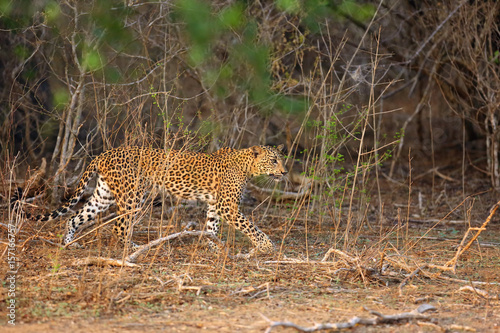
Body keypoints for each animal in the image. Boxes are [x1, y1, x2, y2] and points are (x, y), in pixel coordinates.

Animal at [34, 145, 286, 252]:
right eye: (274, 160)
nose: (284, 172)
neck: (247, 166)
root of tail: (104, 154)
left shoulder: (216, 204)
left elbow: (211, 226)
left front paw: (213, 245)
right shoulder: (228, 206)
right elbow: (251, 227)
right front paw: (267, 245)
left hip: (103, 195)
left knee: (75, 217)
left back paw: (68, 243)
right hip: (132, 195)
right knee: (118, 226)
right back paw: (133, 248)